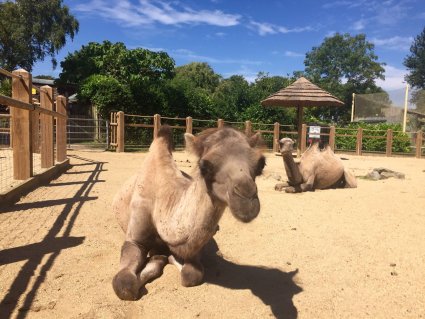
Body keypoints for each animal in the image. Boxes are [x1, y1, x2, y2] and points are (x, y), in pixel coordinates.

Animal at [111, 126, 264, 302]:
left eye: (260, 164)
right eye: (204, 167)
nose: (247, 200)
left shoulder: (193, 248)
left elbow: (191, 275)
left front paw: (168, 257)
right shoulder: (135, 239)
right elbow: (125, 285)